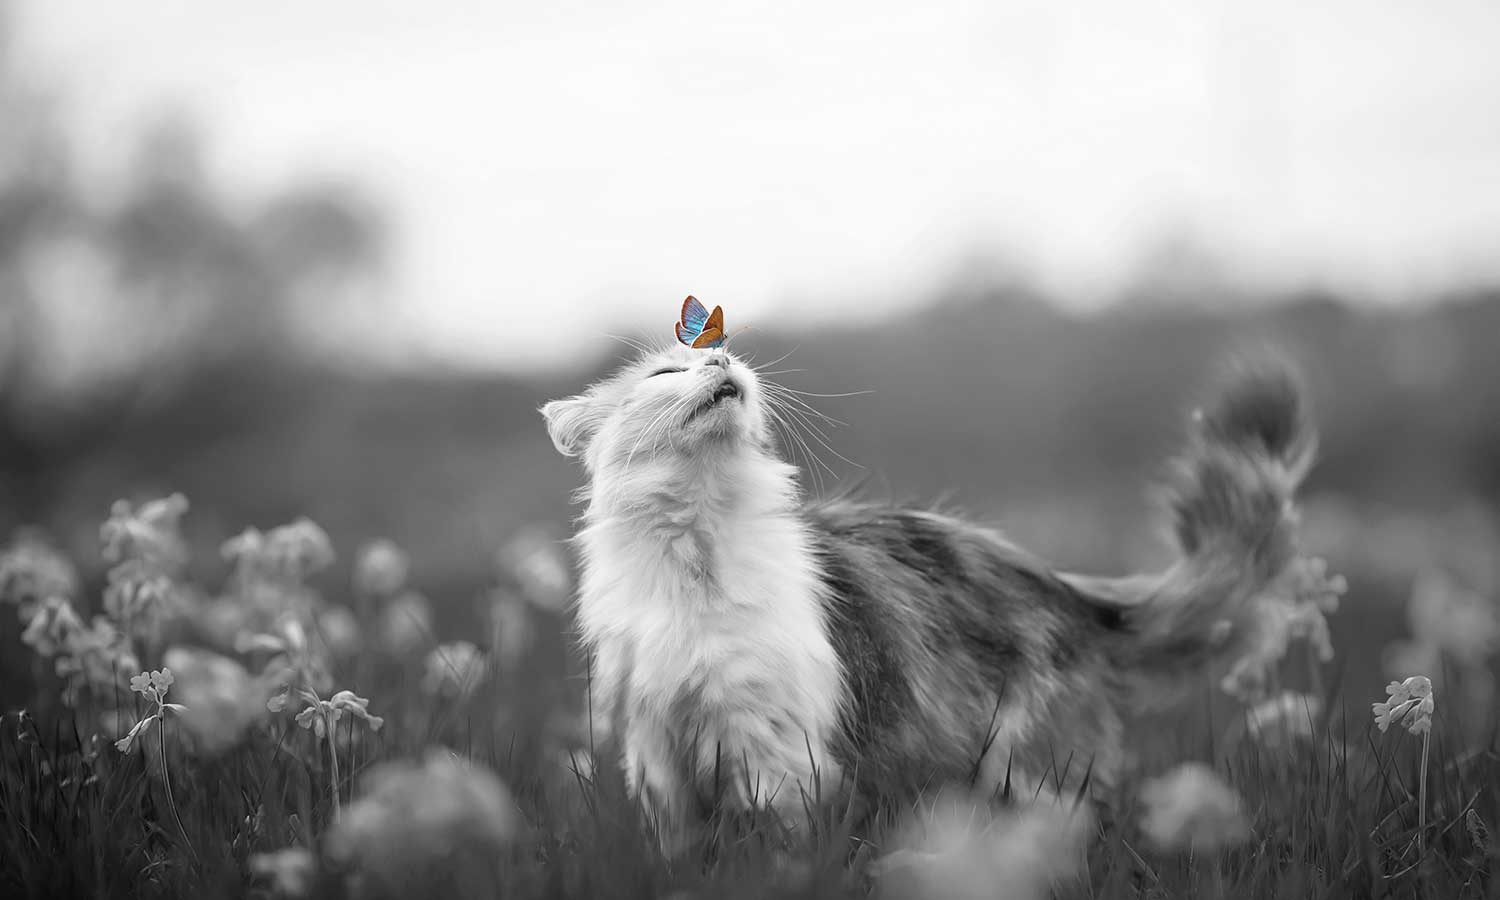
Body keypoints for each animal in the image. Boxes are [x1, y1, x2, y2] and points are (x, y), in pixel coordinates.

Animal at [540, 343, 1314, 852]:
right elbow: (679, 850)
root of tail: (1068, 589)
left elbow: (779, 848)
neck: (693, 552)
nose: (722, 360)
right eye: (665, 372)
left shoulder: (774, 750)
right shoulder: (657, 753)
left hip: (1027, 769)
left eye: (722, 352)